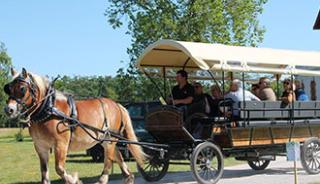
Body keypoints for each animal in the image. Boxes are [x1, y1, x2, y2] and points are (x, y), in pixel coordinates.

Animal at [3, 68, 146, 184]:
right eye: (8, 88)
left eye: (22, 88)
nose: (9, 110)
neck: (48, 109)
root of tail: (117, 105)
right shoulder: (41, 147)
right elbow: (44, 174)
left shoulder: (61, 144)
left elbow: (59, 169)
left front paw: (74, 180)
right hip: (106, 140)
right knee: (119, 158)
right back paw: (128, 177)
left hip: (109, 140)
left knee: (108, 161)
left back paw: (102, 179)